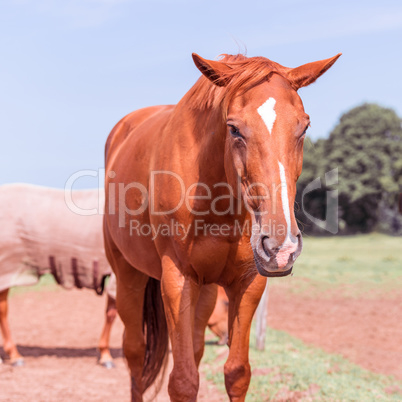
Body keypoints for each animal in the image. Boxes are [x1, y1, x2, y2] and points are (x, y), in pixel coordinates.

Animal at [103, 51, 340, 400]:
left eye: (304, 127)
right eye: (234, 129)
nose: (280, 247)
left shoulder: (248, 282)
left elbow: (237, 372)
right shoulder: (176, 279)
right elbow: (183, 380)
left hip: (206, 289)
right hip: (128, 276)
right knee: (134, 355)